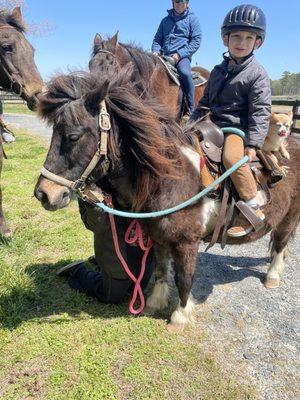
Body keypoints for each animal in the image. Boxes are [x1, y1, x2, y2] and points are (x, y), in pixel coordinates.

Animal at [34, 69, 300, 330]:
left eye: (73, 136)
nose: (43, 193)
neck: (171, 177)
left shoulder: (187, 243)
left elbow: (184, 278)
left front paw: (179, 316)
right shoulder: (158, 236)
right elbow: (162, 271)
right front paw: (153, 304)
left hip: (290, 215)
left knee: (280, 242)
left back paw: (272, 276)